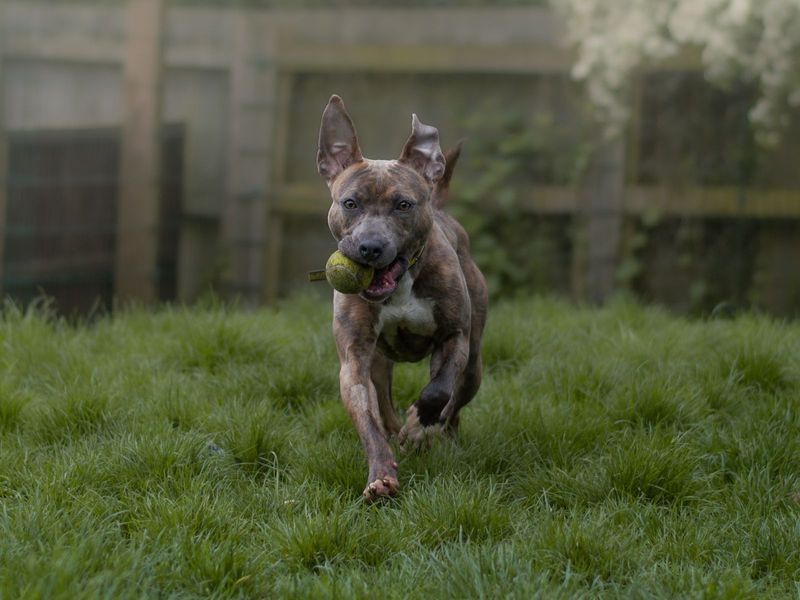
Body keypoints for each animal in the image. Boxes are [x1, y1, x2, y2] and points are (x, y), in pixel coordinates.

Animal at [316, 95, 484, 502]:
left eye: (403, 205)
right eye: (350, 203)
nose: (370, 247)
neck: (400, 286)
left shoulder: (454, 337)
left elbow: (438, 390)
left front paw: (420, 423)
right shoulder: (355, 360)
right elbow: (369, 421)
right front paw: (381, 475)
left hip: (474, 363)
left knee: (455, 405)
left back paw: (437, 435)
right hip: (379, 363)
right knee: (384, 406)